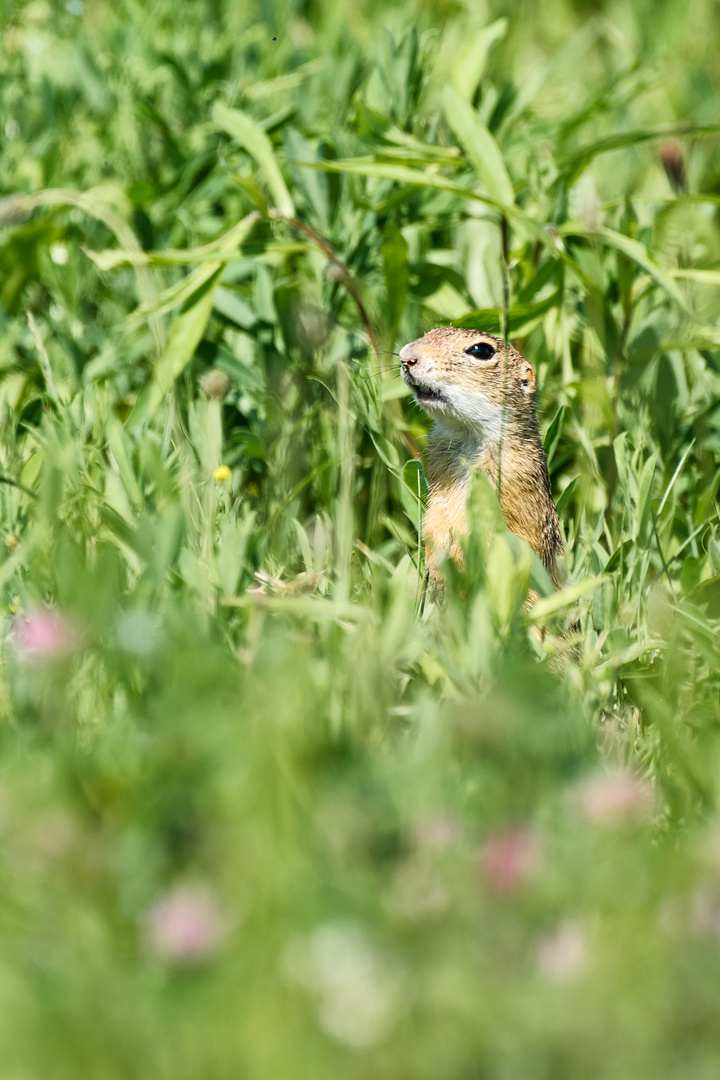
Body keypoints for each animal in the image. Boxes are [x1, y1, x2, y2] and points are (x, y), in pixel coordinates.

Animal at [399, 324, 561, 591]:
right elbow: (434, 521)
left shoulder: (512, 482)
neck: (467, 436)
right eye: (432, 330)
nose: (406, 357)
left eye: (481, 350)